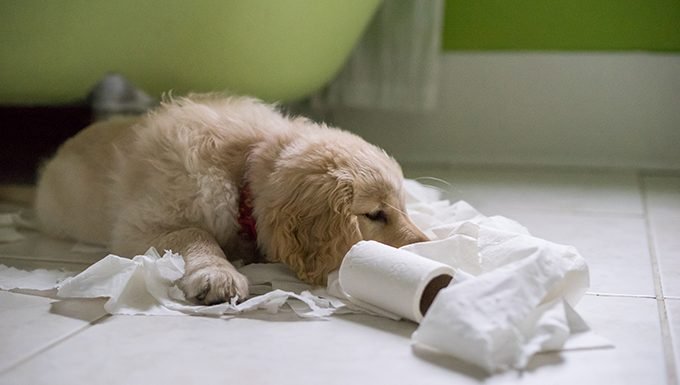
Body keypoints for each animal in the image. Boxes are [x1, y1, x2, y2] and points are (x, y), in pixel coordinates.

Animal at [34, 94, 428, 304]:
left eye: (403, 208)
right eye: (375, 214)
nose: (426, 245)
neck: (243, 171)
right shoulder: (142, 224)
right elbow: (194, 233)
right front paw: (217, 273)